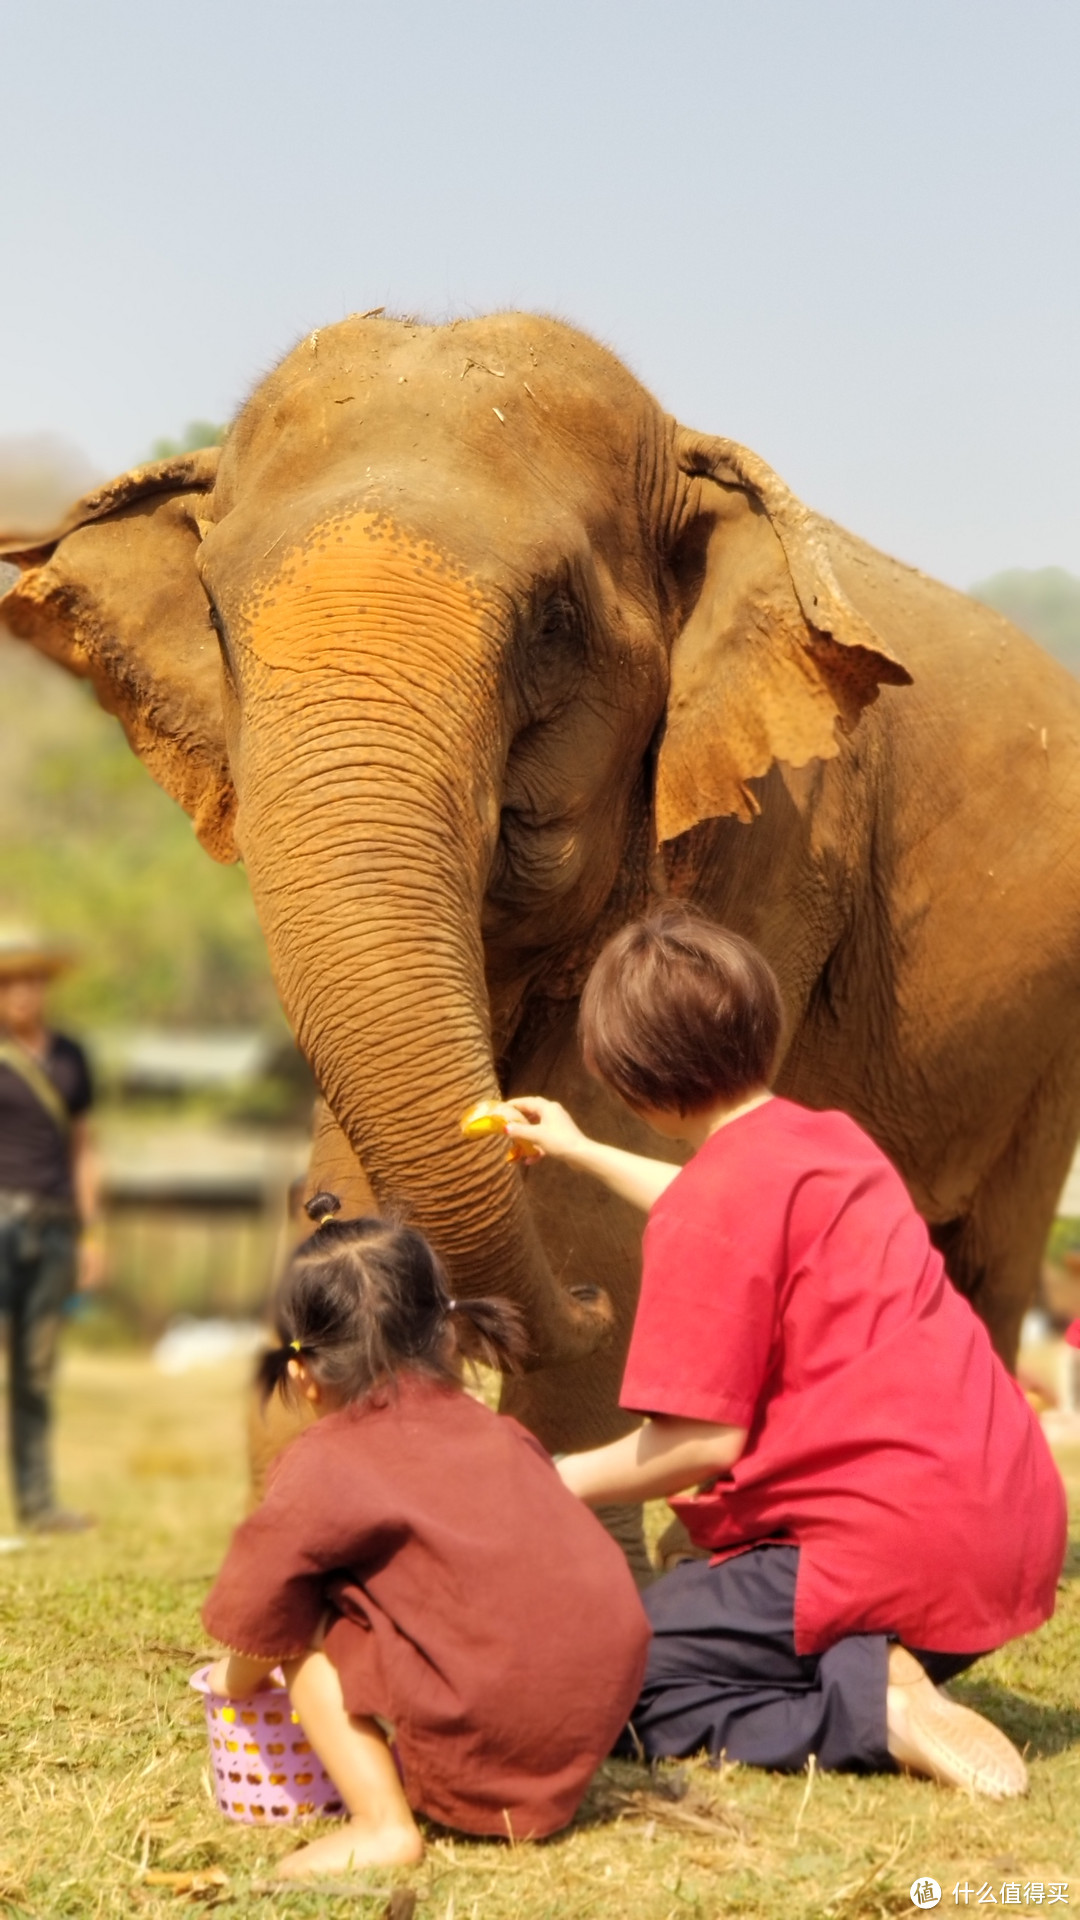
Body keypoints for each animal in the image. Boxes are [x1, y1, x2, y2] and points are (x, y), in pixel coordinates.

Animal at [2, 311, 1076, 1559]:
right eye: (218, 620)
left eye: (554, 623)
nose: (569, 1313)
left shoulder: (778, 823)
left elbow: (612, 1173)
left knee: (989, 1263)